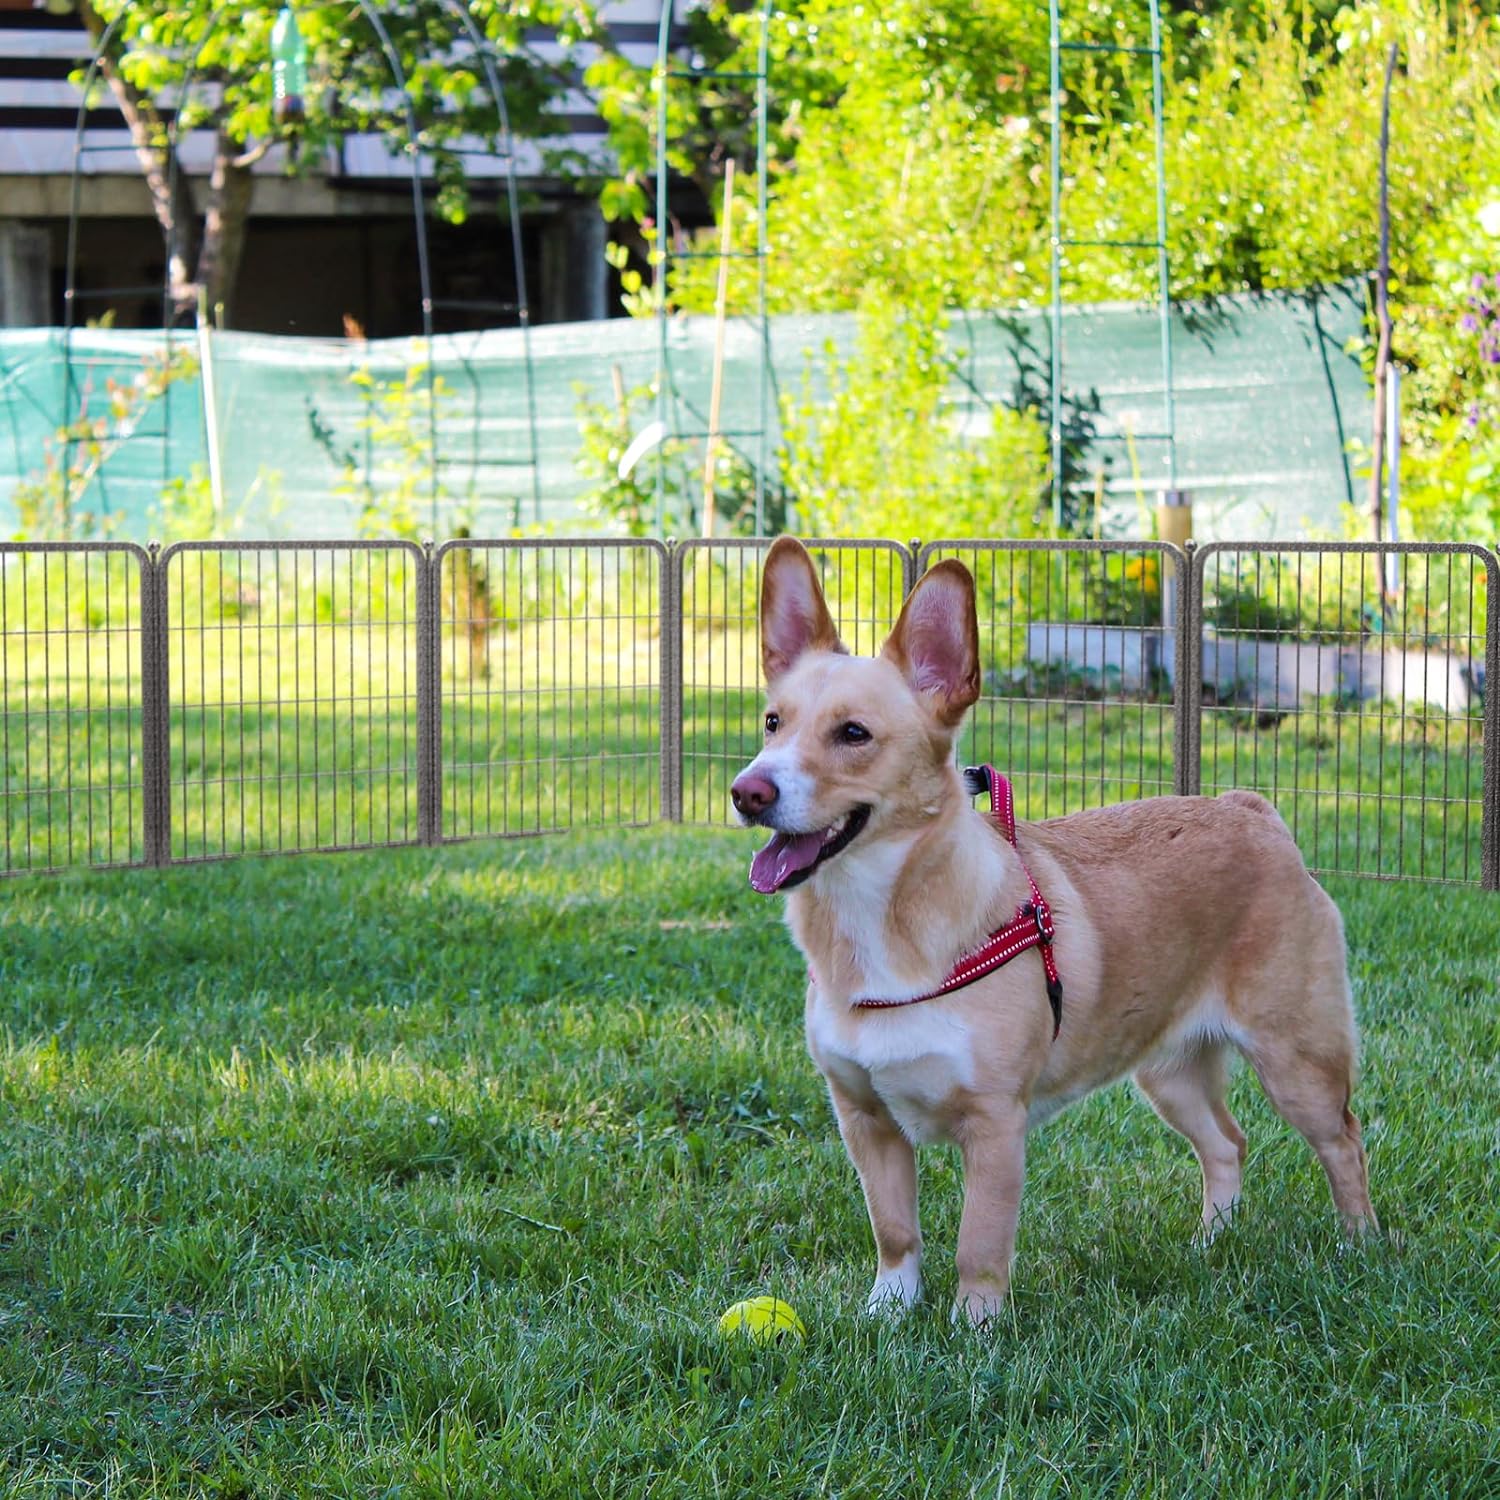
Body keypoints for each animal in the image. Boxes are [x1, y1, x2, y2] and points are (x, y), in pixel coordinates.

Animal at [732, 537, 1374, 1326]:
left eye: (853, 734)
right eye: (772, 723)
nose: (747, 792)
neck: (880, 923)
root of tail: (1251, 811)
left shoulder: (995, 1127)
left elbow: (978, 1246)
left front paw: (974, 1333)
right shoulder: (865, 1120)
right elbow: (896, 1234)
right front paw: (888, 1314)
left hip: (1298, 1064)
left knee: (1344, 1143)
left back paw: (1361, 1250)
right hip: (1168, 1073)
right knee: (1227, 1145)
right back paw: (1211, 1245)